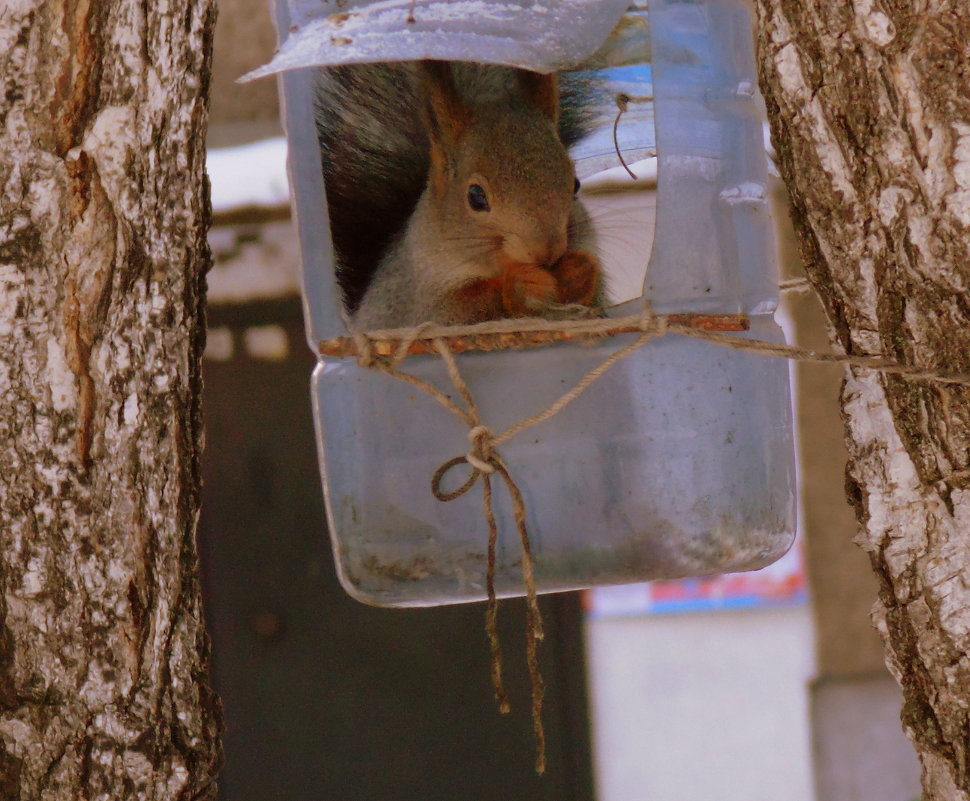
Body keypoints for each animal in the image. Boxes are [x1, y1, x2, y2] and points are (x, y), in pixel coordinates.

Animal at [318, 58, 600, 328]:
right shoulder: (420, 303)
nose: (547, 251)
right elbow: (458, 311)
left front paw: (577, 270)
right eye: (475, 197)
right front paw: (522, 283)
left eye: (575, 184)